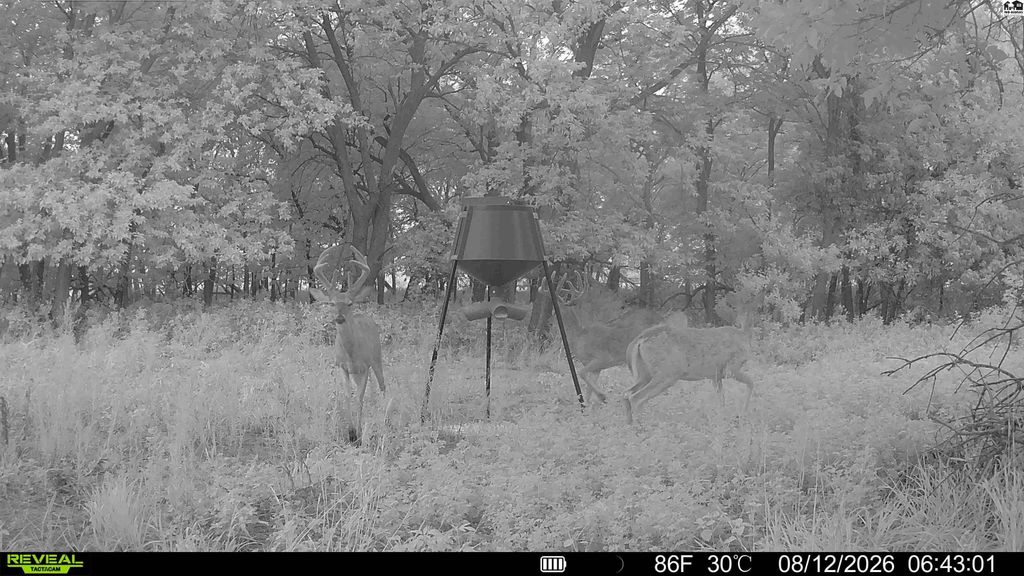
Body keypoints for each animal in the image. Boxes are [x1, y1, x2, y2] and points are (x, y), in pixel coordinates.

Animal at [309, 245, 385, 444]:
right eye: (332, 303)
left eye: (350, 303)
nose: (339, 317)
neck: (351, 353)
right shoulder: (341, 366)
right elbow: (347, 396)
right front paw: (350, 432)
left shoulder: (364, 366)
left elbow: (359, 398)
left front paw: (358, 434)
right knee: (372, 390)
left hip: (377, 359)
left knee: (382, 386)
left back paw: (384, 417)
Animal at [622, 318, 755, 425]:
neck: (744, 335)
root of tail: (640, 339)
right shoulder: (731, 368)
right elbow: (751, 382)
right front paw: (743, 414)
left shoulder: (715, 376)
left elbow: (721, 398)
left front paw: (723, 417)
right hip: (667, 374)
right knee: (636, 397)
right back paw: (640, 427)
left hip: (644, 374)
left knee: (626, 393)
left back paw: (629, 425)